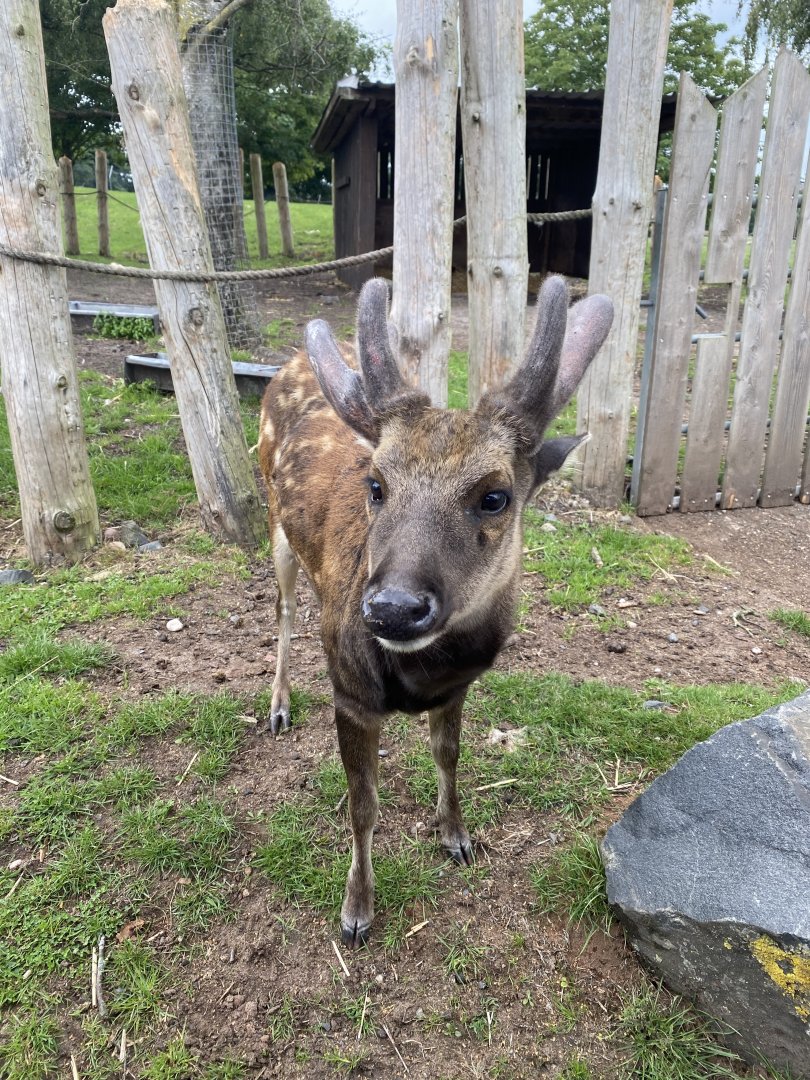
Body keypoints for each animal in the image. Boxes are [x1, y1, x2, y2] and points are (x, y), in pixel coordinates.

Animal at [257, 274, 613, 946]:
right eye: (375, 485)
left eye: (495, 496)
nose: (393, 609)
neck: (418, 678)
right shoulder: (351, 695)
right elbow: (364, 807)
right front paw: (357, 910)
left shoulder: (459, 687)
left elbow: (448, 756)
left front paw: (456, 835)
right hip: (274, 522)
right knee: (285, 612)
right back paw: (279, 707)